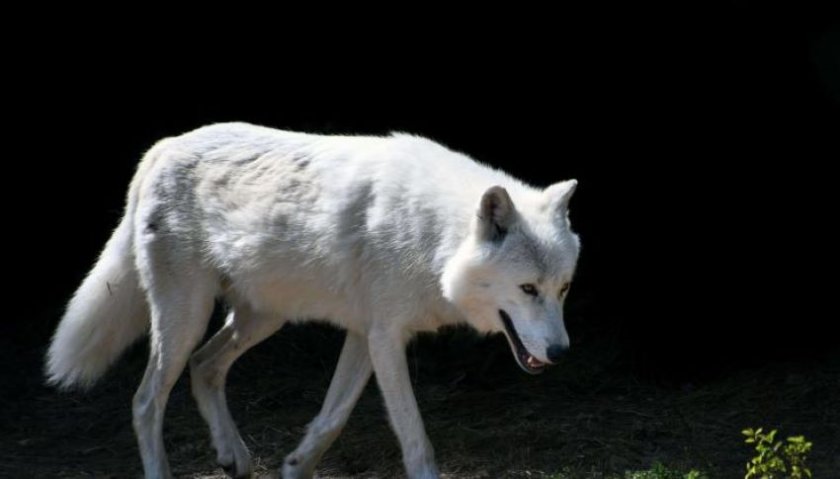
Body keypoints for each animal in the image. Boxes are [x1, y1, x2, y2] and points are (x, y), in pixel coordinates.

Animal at [46, 122, 580, 478]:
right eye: (527, 289)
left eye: (563, 289)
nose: (560, 353)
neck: (434, 240)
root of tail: (163, 147)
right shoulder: (386, 338)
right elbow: (415, 440)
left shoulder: (366, 336)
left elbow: (332, 419)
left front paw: (295, 465)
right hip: (186, 319)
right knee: (145, 400)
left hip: (260, 320)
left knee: (205, 367)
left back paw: (235, 457)